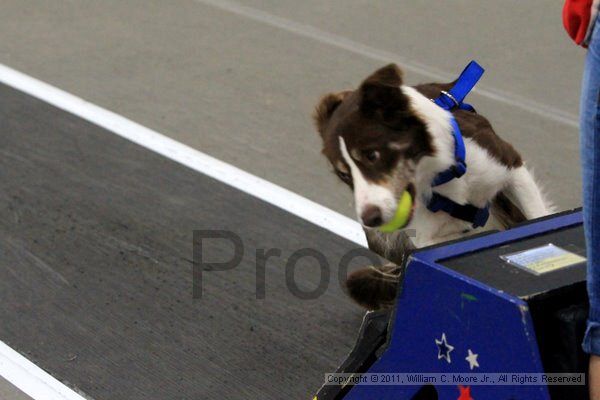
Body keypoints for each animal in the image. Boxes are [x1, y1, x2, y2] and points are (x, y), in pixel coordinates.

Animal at [314, 63, 552, 310]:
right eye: (344, 174)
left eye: (372, 155)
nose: (370, 218)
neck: (439, 175)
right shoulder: (425, 240)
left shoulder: (511, 167)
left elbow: (538, 218)